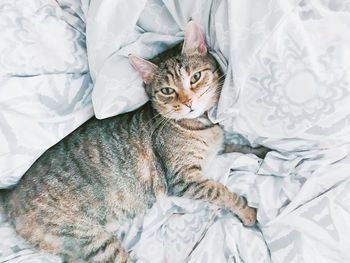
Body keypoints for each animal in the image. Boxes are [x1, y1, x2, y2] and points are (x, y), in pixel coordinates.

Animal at [0, 22, 258, 263]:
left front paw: (260, 151)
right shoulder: (184, 179)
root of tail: (12, 195)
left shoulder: (219, 149)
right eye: (167, 90)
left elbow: (240, 148)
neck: (200, 125)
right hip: (93, 239)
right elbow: (221, 191)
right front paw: (247, 211)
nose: (189, 102)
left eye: (195, 77)